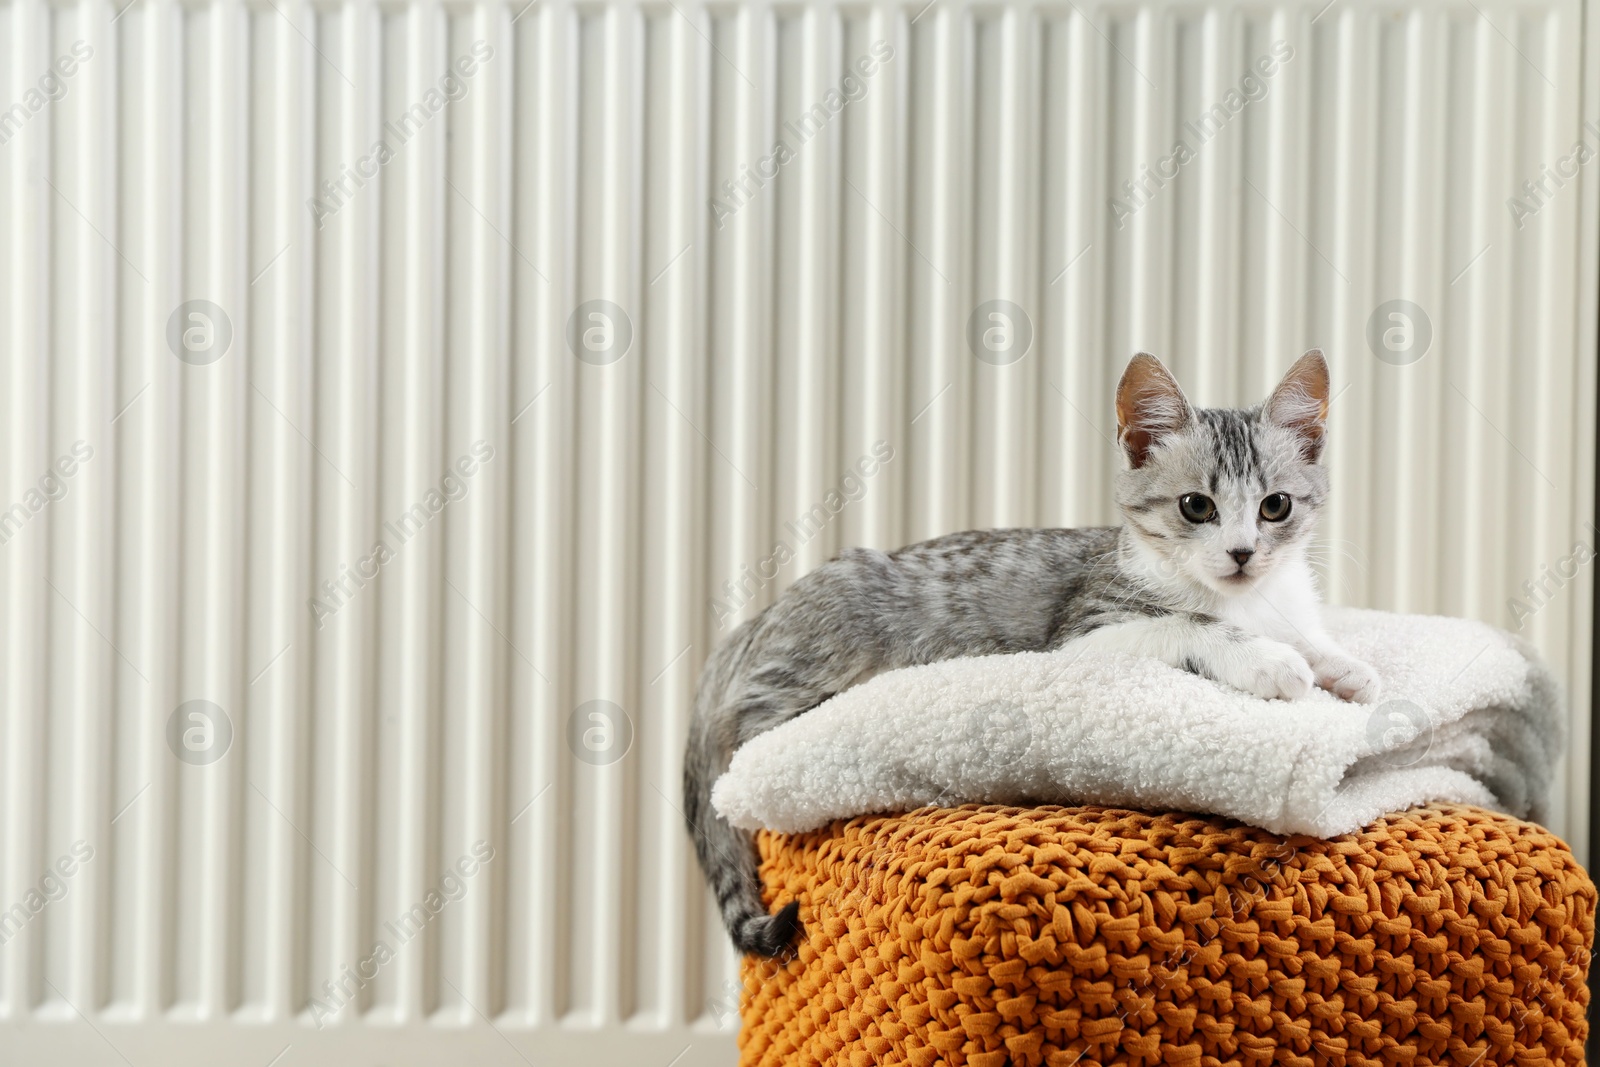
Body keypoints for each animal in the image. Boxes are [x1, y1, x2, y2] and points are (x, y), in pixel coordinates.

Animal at [681, 350, 1382, 959]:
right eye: (1196, 506)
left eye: (1276, 506)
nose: (1241, 554)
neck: (1246, 599)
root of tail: (754, 624)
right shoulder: (1085, 631)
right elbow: (1189, 622)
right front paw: (1269, 661)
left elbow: (1311, 637)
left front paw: (1346, 668)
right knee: (749, 734)